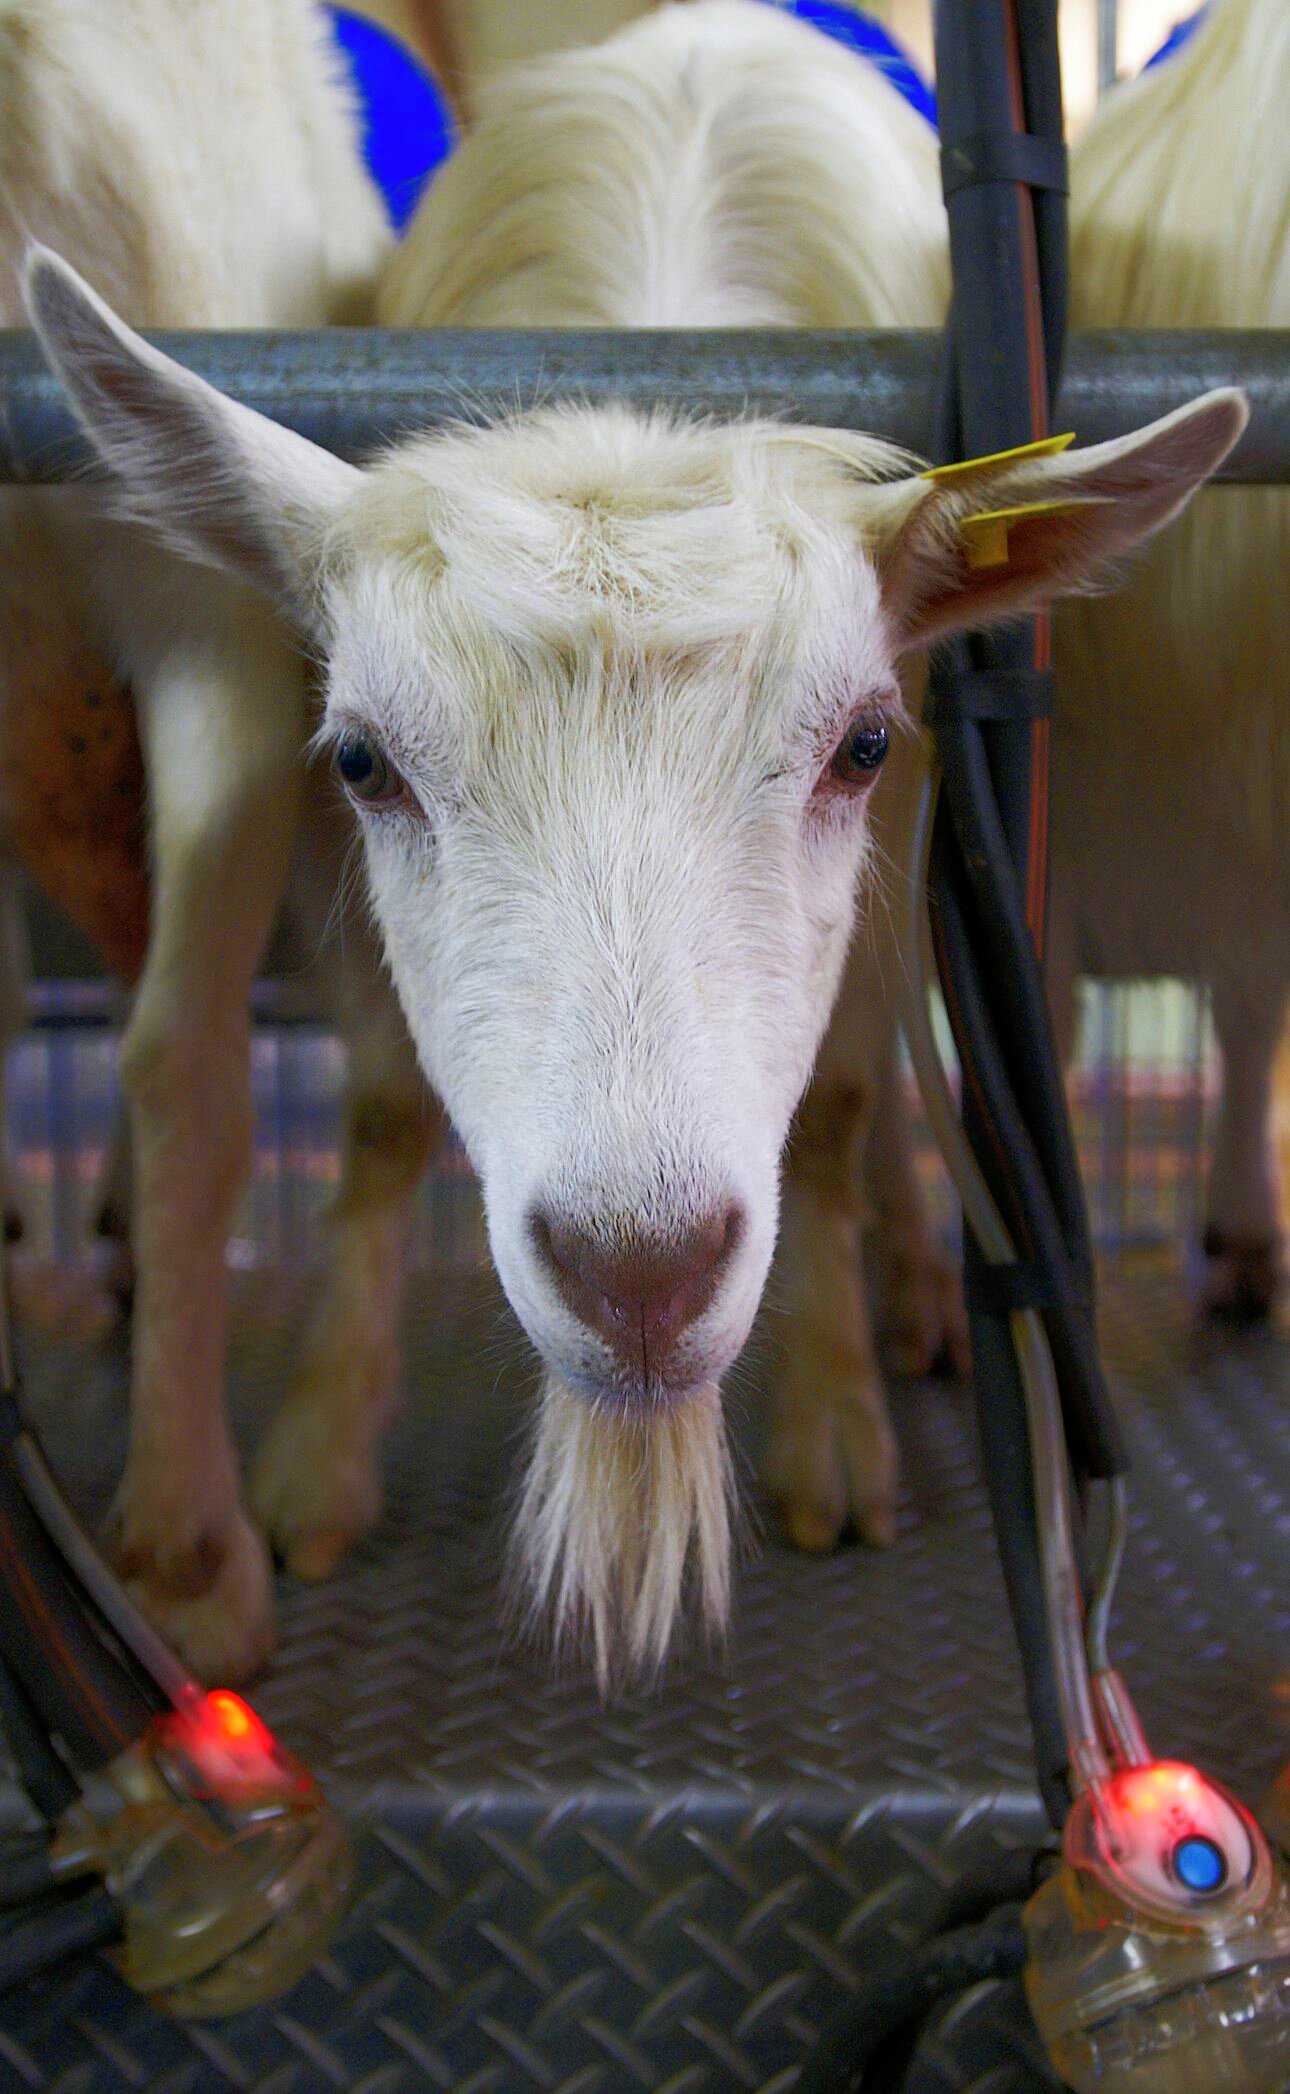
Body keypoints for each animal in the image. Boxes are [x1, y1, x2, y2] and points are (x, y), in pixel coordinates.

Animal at [28, 0, 1246, 1680]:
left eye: (864, 743)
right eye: (363, 760)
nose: (639, 1272)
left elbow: (843, 1105)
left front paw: (834, 1429)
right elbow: (384, 1117)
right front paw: (317, 1455)